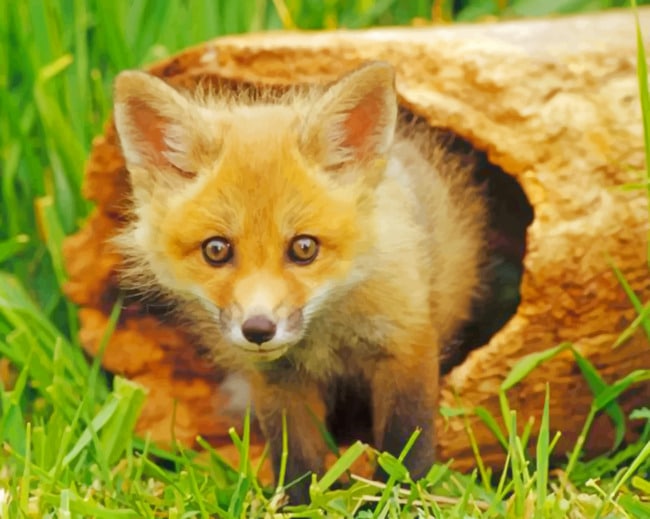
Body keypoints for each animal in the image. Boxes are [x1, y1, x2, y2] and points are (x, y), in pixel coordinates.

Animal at [111, 61, 488, 504]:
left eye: (304, 248)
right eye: (216, 250)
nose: (258, 329)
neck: (326, 335)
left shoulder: (405, 345)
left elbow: (405, 446)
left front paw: (399, 496)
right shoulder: (278, 379)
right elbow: (297, 459)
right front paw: (299, 503)